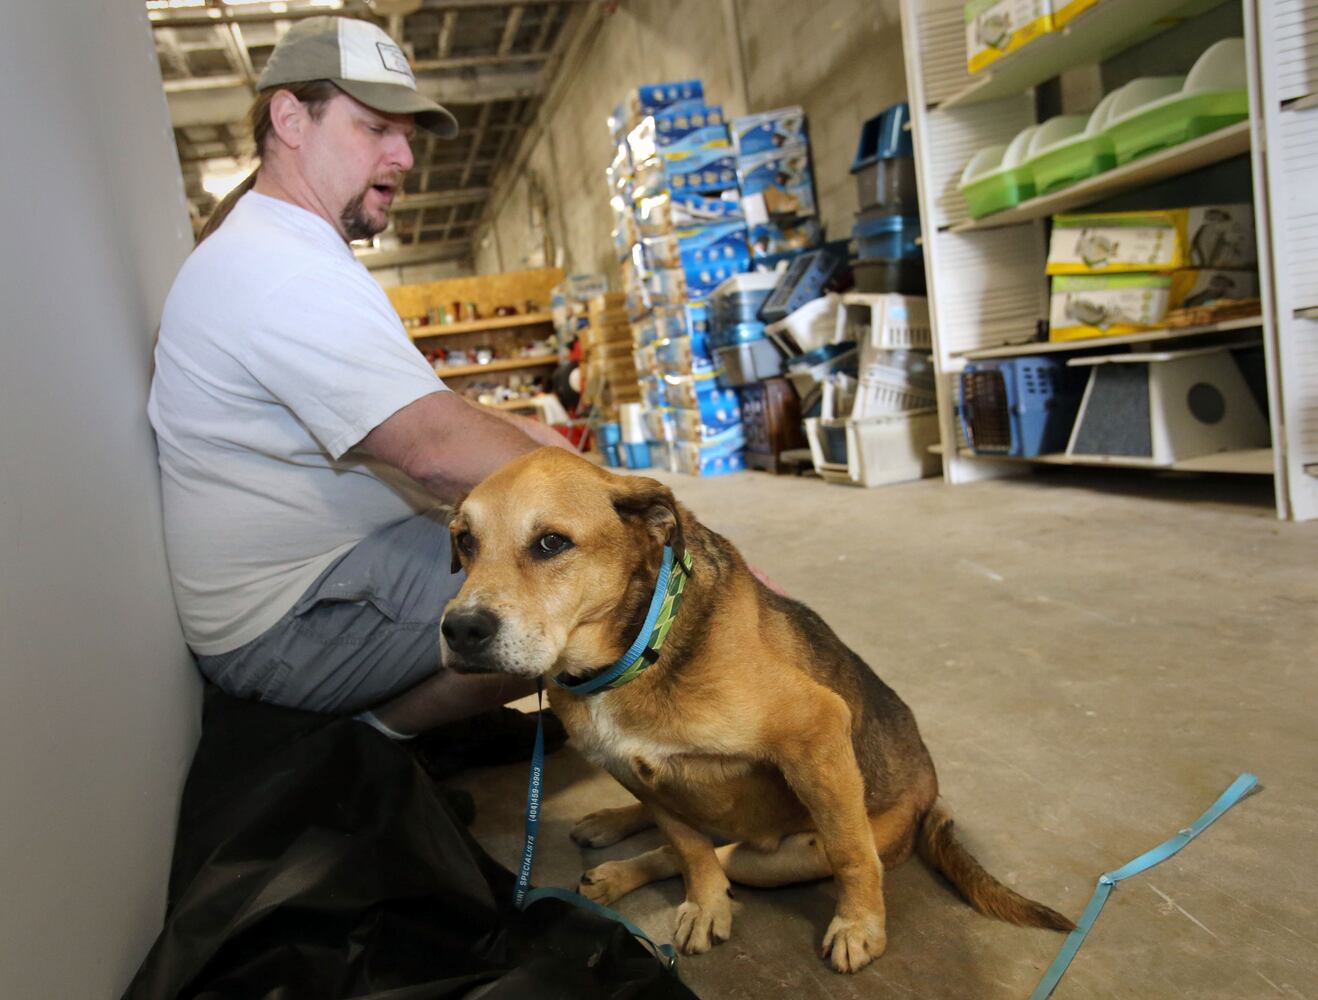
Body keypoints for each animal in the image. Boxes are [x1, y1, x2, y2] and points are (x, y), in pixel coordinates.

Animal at [441, 448, 1073, 973]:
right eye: (465, 542)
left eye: (551, 543)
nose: (459, 631)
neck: (636, 653)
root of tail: (930, 792)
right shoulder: (632, 768)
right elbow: (689, 849)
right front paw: (706, 904)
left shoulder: (816, 732)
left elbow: (850, 855)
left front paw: (860, 927)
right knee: (687, 845)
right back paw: (612, 847)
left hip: (787, 855)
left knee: (751, 851)